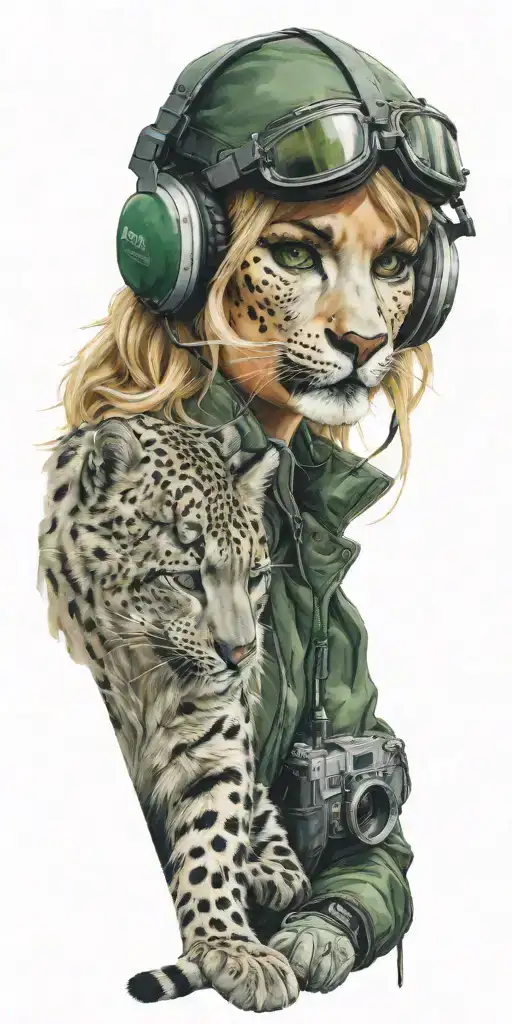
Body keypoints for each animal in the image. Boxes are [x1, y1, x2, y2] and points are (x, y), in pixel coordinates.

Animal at [38, 412, 311, 1012]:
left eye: (255, 576)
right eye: (185, 578)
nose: (241, 653)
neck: (143, 677)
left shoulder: (218, 746)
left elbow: (213, 837)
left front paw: (231, 948)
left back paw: (267, 871)